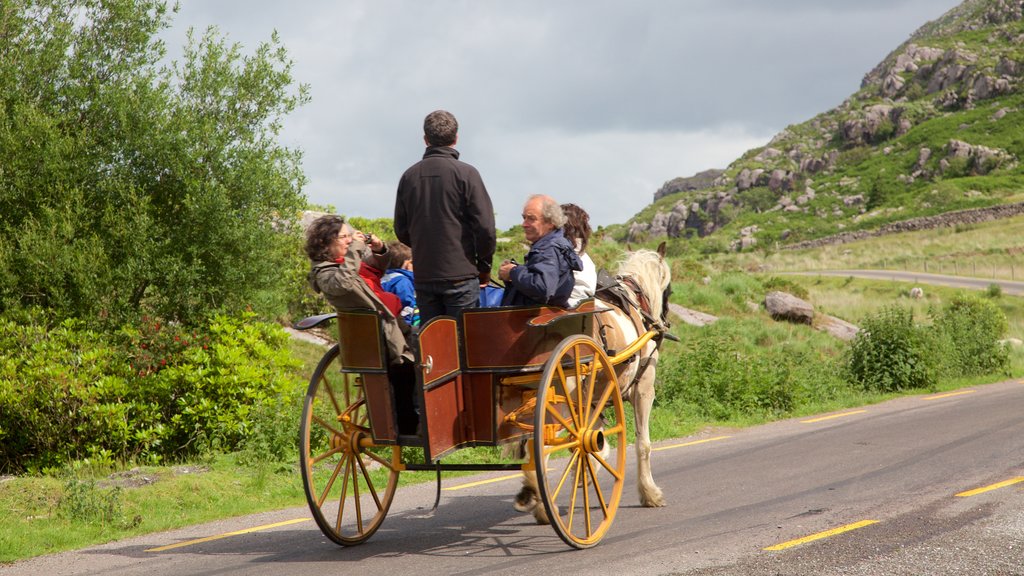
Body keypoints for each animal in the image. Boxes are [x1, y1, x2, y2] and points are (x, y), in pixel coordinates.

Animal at [516, 240, 675, 520]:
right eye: (669, 289)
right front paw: (650, 493)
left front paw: (586, 473)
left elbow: (593, 441)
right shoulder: (643, 389)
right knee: (540, 447)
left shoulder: (592, 399)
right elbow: (642, 443)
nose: (663, 322)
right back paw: (544, 505)